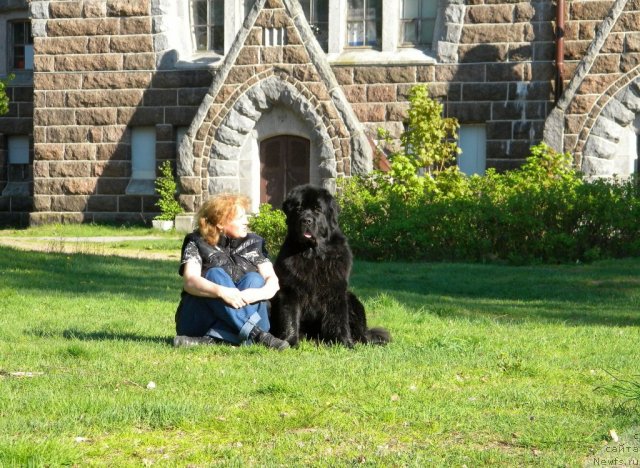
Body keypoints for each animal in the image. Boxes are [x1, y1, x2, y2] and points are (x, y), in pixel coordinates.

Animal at [268, 184, 390, 348]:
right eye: (298, 209)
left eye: (317, 210)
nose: (306, 220)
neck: (313, 254)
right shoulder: (290, 290)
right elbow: (290, 317)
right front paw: (290, 341)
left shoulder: (336, 290)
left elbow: (338, 319)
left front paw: (343, 342)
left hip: (352, 300)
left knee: (362, 334)